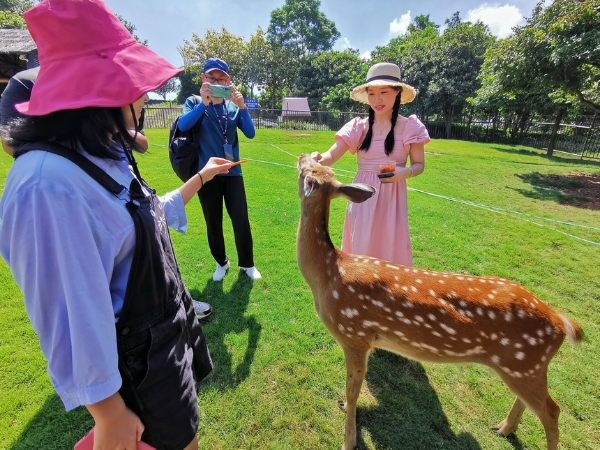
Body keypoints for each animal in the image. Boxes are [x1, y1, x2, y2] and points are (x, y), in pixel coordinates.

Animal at [298, 156, 584, 450]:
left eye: (306, 171)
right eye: (319, 168)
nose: (302, 157)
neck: (329, 275)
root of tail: (561, 321)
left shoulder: (355, 335)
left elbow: (353, 391)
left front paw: (348, 438)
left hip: (525, 364)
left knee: (553, 410)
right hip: (526, 366)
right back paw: (503, 429)